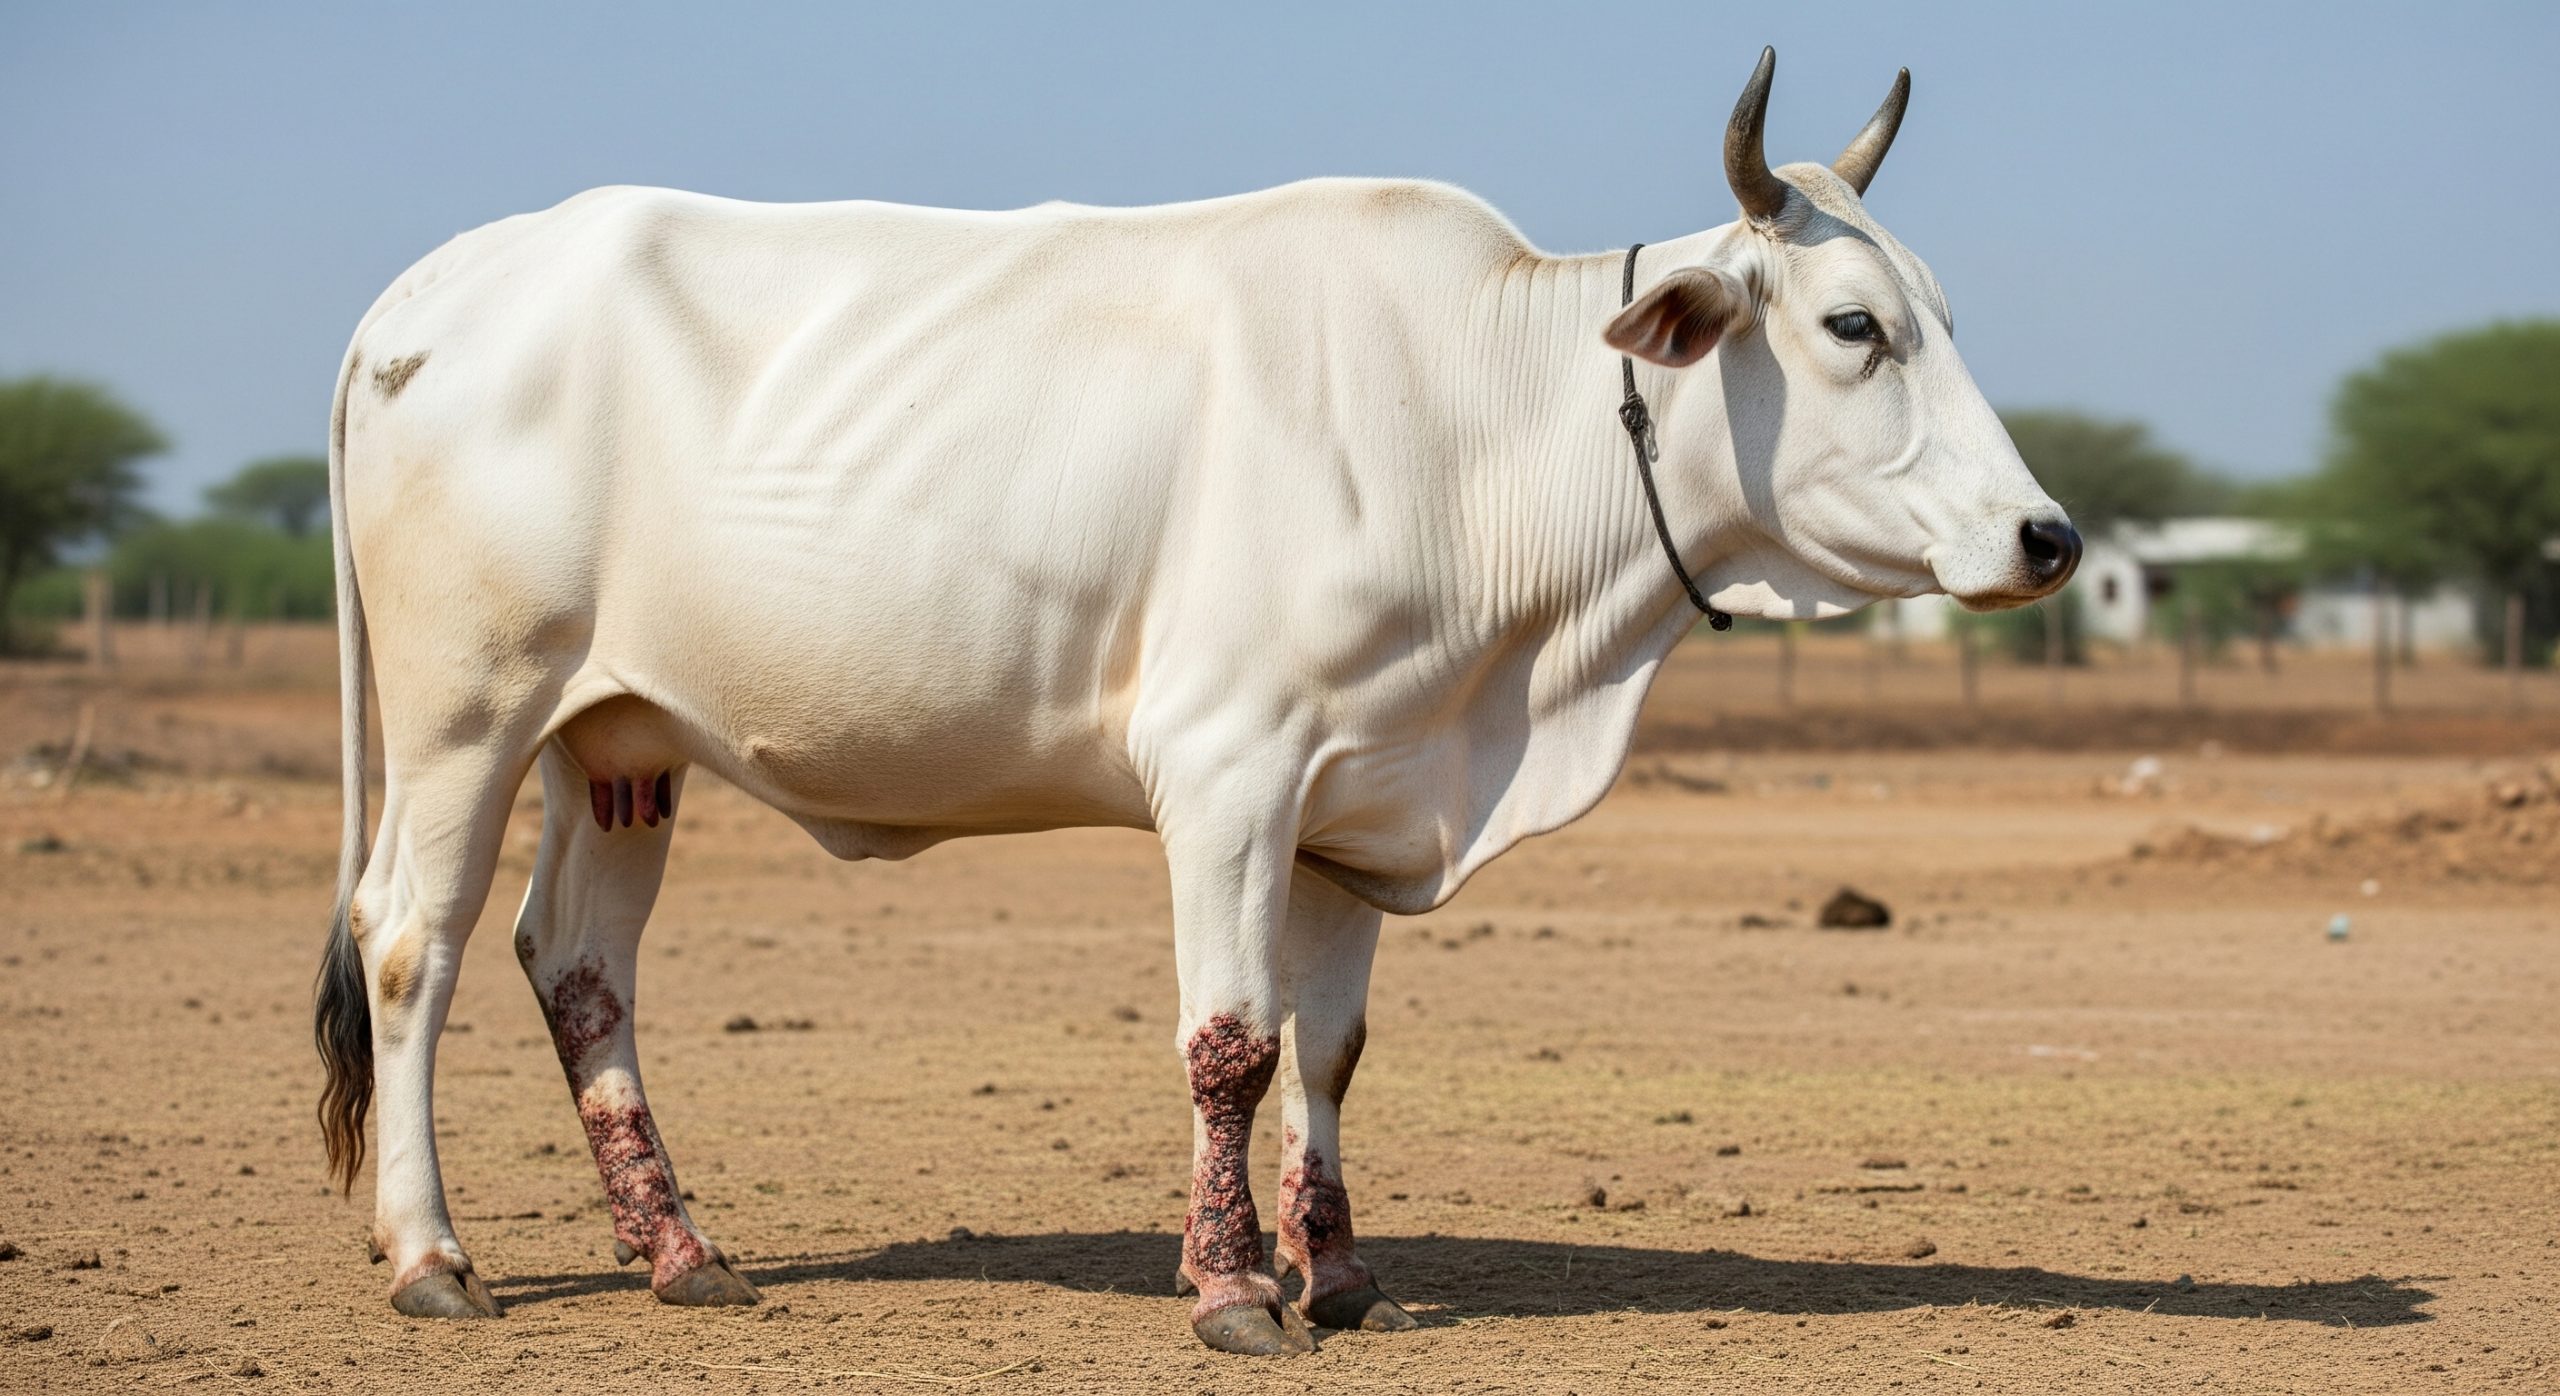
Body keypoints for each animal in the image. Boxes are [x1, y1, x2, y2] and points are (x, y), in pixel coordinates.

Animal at [312, 48, 2080, 1355]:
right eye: (1853, 326)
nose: (2048, 537)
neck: (1478, 424)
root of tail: (427, 291)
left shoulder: (1358, 800)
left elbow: (1332, 1050)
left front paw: (1341, 1278)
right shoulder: (1230, 773)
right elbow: (1232, 1042)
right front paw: (1233, 1290)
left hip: (618, 740)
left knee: (579, 966)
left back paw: (681, 1252)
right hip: (469, 712)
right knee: (411, 942)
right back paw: (433, 1258)